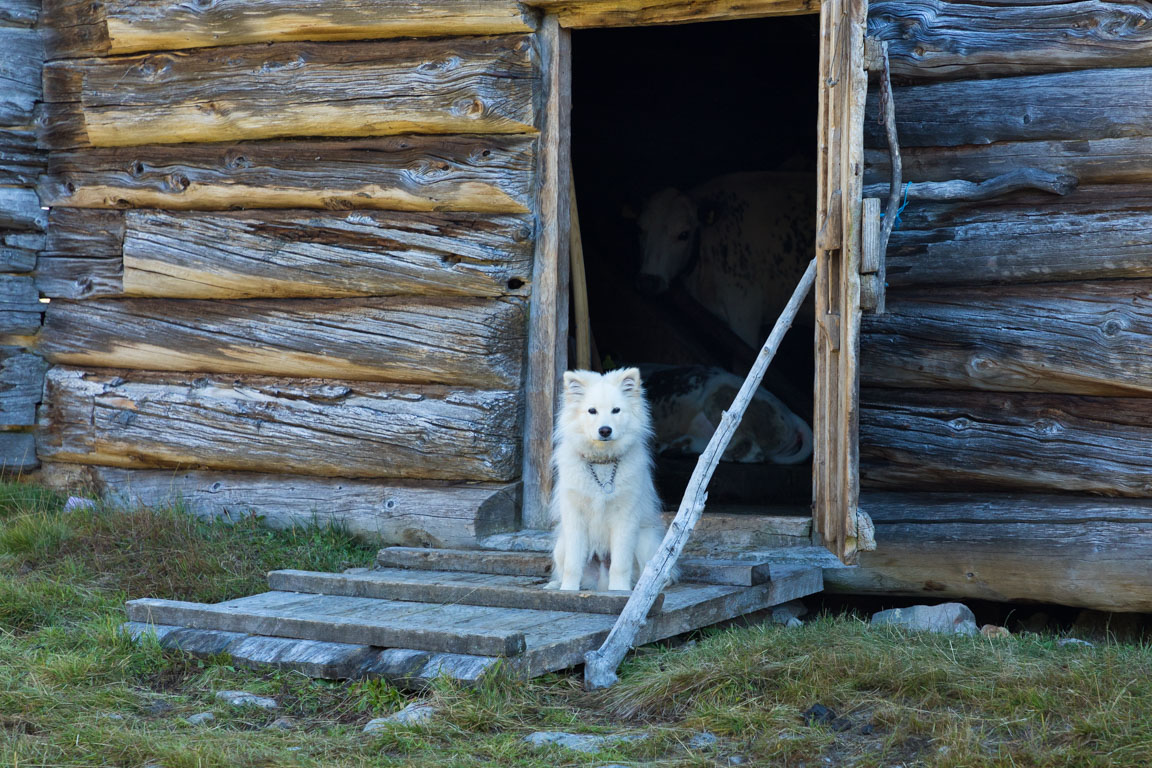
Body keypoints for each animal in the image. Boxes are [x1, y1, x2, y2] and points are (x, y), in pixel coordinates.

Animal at [546, 368, 668, 594]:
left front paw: (619, 591)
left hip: (646, 543)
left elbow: (621, 564)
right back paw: (555, 585)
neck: (601, 464)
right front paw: (568, 590)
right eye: (592, 411)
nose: (605, 430)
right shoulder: (575, 517)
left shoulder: (625, 518)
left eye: (616, 410)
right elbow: (572, 564)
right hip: (561, 545)